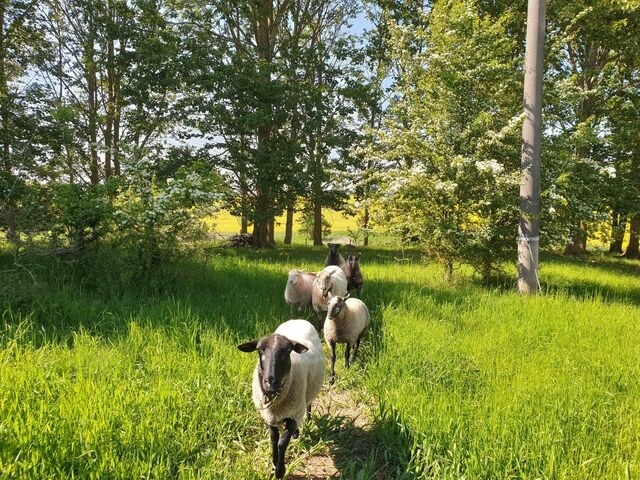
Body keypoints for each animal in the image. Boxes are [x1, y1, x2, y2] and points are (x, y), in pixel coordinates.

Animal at [238, 318, 324, 480]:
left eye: (288, 349)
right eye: (260, 350)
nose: (271, 381)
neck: (275, 399)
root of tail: (298, 319)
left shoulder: (295, 415)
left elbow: (282, 443)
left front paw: (280, 471)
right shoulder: (269, 417)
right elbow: (273, 440)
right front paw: (273, 467)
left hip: (306, 396)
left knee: (308, 405)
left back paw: (307, 422)